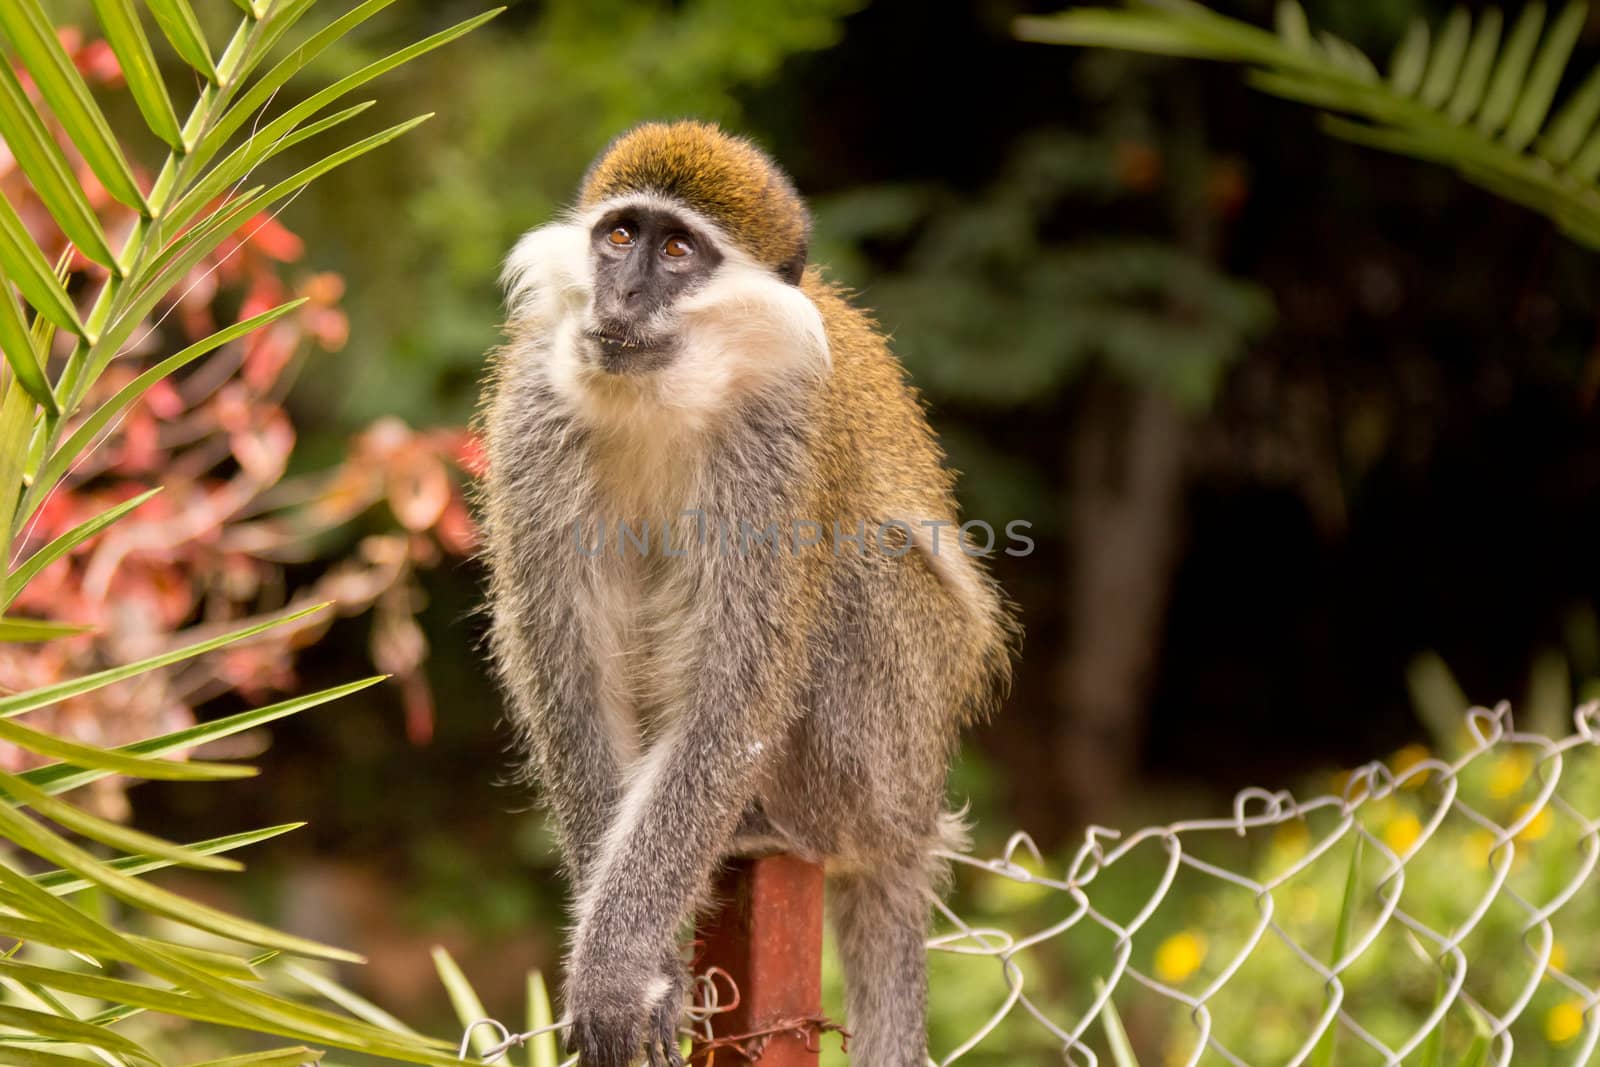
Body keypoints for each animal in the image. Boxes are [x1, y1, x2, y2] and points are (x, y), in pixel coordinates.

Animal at [480, 120, 1017, 1067]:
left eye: (678, 251)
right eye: (620, 235)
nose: (621, 295)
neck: (665, 394)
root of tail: (912, 824)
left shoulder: (777, 437)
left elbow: (734, 696)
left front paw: (618, 965)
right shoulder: (534, 409)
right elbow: (569, 674)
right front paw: (645, 961)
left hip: (888, 750)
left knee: (859, 565)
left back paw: (767, 824)